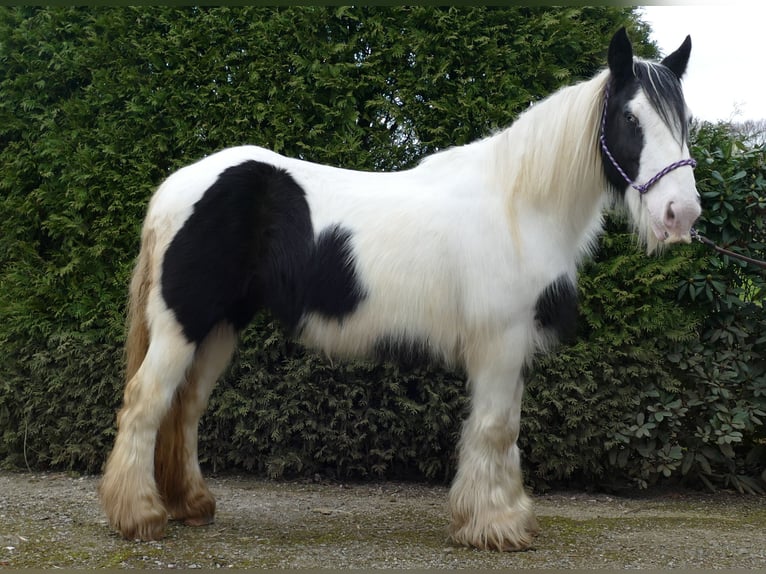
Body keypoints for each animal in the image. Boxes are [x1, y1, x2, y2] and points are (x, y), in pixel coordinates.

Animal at [100, 28, 704, 552]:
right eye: (630, 117)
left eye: (685, 122)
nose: (682, 214)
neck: (518, 205)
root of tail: (175, 188)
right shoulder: (500, 343)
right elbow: (495, 428)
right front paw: (494, 527)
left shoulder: (513, 349)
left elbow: (504, 433)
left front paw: (503, 517)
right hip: (183, 323)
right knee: (146, 401)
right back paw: (140, 516)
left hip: (219, 328)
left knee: (185, 408)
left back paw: (191, 504)